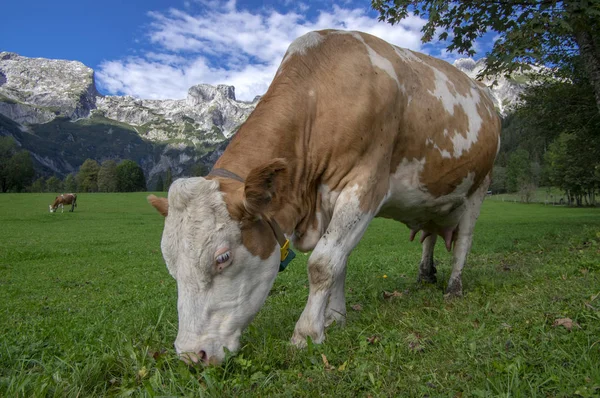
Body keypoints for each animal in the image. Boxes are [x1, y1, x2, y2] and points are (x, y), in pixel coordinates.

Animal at [148, 29, 500, 366]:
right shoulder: (326, 200)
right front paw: (334, 318)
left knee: (464, 241)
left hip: (479, 188)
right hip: (434, 200)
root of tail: (485, 95)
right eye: (170, 264)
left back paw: (453, 288)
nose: (191, 356)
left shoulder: (365, 186)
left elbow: (323, 262)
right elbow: (339, 260)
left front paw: (306, 333)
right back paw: (425, 274)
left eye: (222, 258)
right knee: (430, 235)